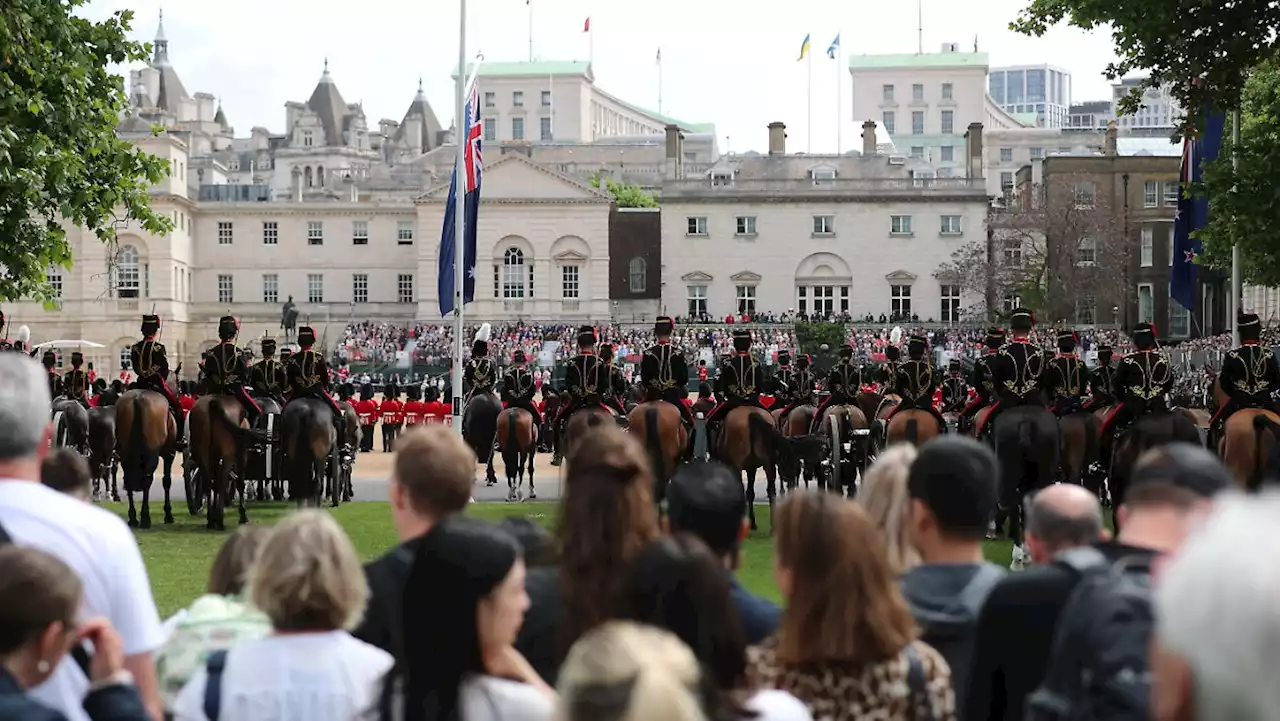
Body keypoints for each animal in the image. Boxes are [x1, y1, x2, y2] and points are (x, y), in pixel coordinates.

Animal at [113, 391, 175, 527]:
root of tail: (137, 399)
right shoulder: (169, 454)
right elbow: (166, 481)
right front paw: (168, 514)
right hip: (151, 454)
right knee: (147, 480)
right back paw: (145, 518)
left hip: (125, 453)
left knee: (128, 480)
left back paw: (133, 518)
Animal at [186, 394, 249, 530]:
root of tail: (214, 401)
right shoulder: (242, 455)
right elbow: (239, 483)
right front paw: (243, 516)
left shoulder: (214, 457)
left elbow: (214, 483)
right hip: (228, 456)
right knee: (223, 480)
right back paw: (219, 520)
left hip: (202, 454)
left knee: (208, 482)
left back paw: (211, 519)